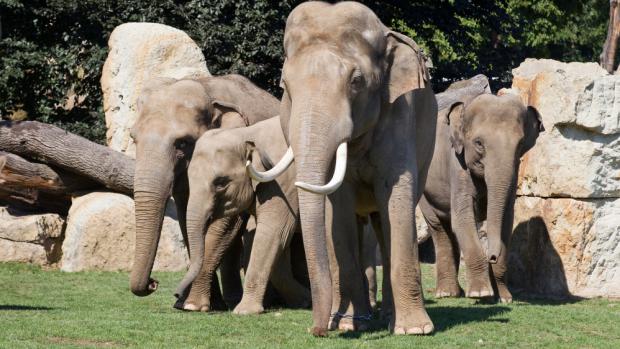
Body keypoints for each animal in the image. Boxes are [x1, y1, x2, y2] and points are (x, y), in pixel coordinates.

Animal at [174, 115, 310, 314]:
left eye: (221, 183)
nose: (176, 295)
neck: (246, 134)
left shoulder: (285, 183)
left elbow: (275, 231)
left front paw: (244, 311)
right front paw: (304, 300)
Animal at [247, 1, 436, 336]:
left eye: (356, 82)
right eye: (284, 86)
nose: (317, 330)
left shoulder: (400, 116)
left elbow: (396, 195)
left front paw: (415, 330)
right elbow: (339, 208)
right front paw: (349, 325)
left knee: (383, 221)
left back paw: (390, 316)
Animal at [422, 92, 544, 302]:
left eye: (520, 144)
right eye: (479, 143)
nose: (492, 257)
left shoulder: (514, 170)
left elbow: (506, 220)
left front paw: (504, 298)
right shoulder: (457, 165)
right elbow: (463, 220)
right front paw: (481, 294)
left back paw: (456, 293)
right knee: (439, 228)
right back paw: (446, 294)